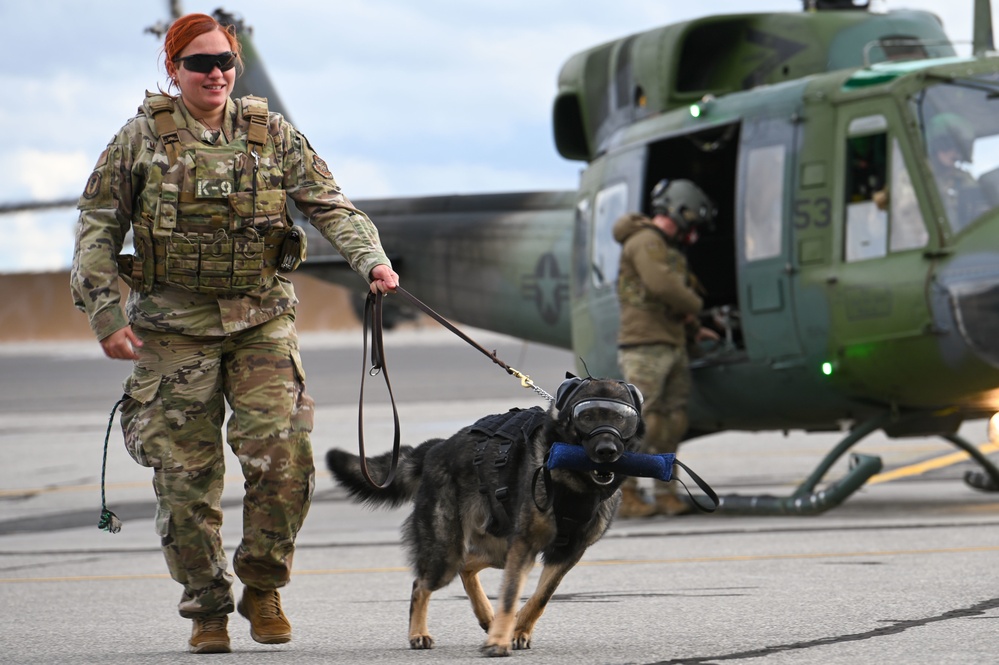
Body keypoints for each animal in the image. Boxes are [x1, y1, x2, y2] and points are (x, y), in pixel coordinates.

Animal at [324, 376, 644, 656]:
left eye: (622, 418)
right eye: (586, 416)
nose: (607, 450)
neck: (575, 483)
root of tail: (436, 448)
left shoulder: (566, 554)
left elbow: (540, 597)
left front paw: (517, 630)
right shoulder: (525, 546)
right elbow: (510, 596)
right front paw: (499, 641)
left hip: (499, 549)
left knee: (466, 565)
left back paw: (486, 617)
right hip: (447, 553)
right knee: (421, 584)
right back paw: (418, 633)